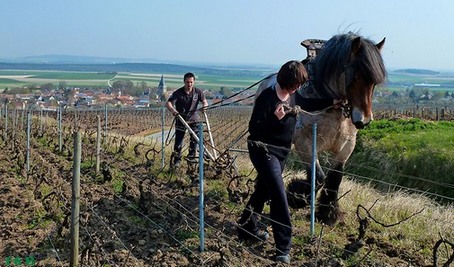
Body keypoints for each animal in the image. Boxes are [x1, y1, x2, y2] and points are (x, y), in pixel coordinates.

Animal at [255, 32, 386, 227]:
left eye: (374, 82)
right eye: (355, 76)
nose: (364, 120)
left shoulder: (346, 147)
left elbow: (334, 178)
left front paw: (328, 213)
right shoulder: (306, 144)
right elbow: (318, 178)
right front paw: (296, 196)